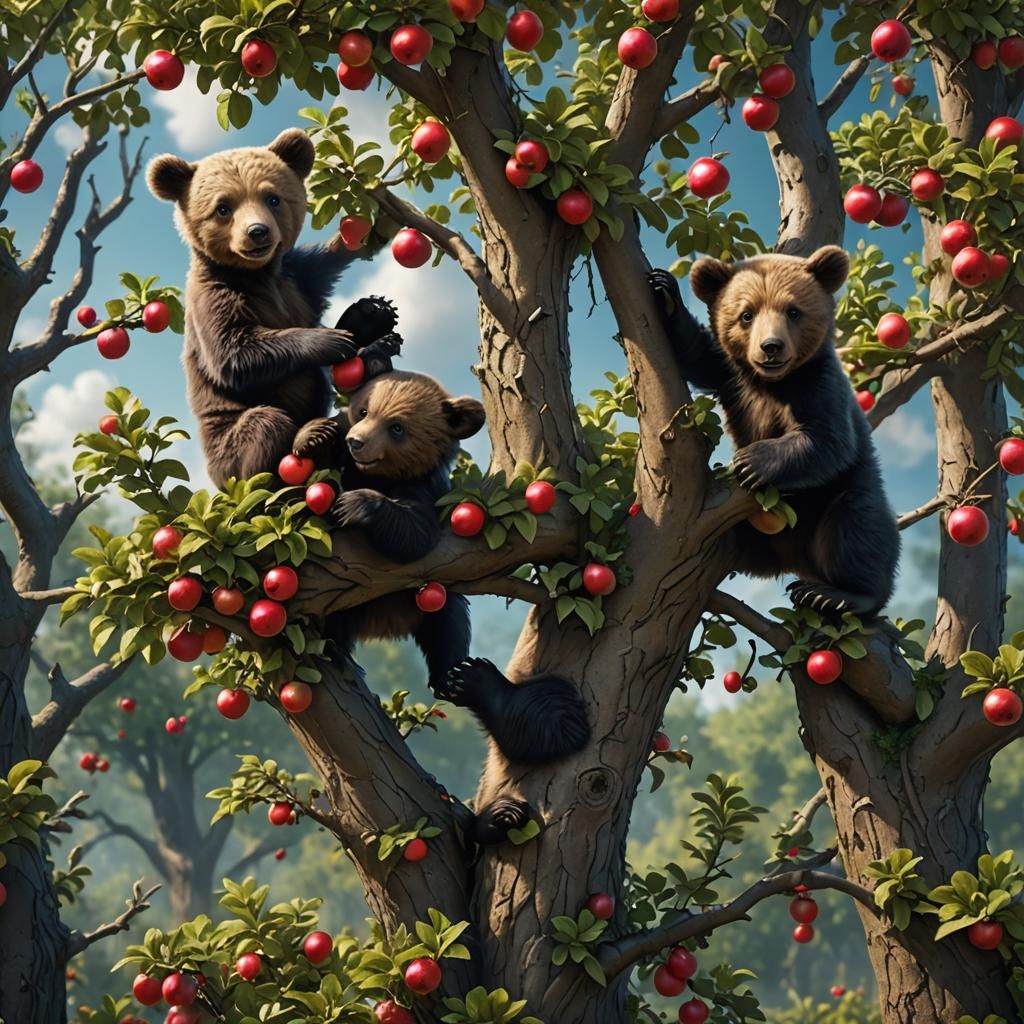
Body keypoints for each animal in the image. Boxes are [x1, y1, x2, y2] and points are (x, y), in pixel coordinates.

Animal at [147, 127, 401, 489]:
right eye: (223, 207)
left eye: (273, 198)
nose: (258, 232)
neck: (257, 275)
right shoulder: (213, 298)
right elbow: (236, 352)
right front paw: (332, 341)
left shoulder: (297, 278)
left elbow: (334, 256)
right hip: (225, 444)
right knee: (264, 426)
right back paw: (303, 441)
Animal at [292, 371, 592, 843]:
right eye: (362, 409)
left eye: (397, 428)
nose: (357, 442)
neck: (375, 475)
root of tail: (385, 626)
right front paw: (314, 435)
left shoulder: (427, 495)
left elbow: (413, 534)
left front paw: (357, 503)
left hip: (427, 605)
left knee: (448, 626)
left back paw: (466, 681)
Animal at [648, 245, 899, 617]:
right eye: (746, 314)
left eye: (793, 311)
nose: (771, 347)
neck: (772, 383)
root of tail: (793, 561)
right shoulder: (732, 374)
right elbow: (699, 355)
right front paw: (665, 291)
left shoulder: (819, 383)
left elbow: (828, 441)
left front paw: (752, 462)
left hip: (848, 491)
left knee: (858, 531)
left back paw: (836, 594)